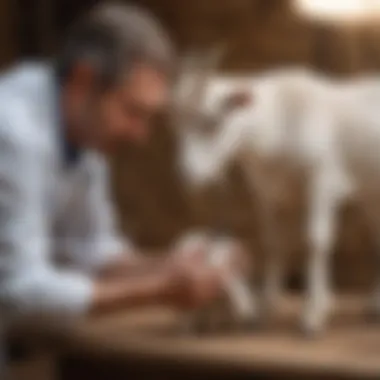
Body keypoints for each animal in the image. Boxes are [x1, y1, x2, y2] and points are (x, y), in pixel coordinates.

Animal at [171, 51, 380, 336]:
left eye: (213, 122)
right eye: (176, 124)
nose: (189, 174)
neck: (280, 121)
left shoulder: (322, 182)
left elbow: (316, 242)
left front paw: (313, 316)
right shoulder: (268, 194)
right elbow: (273, 243)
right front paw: (264, 310)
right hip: (372, 193)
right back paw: (373, 305)